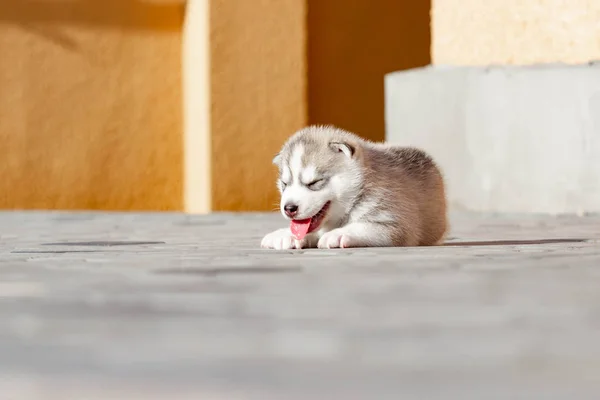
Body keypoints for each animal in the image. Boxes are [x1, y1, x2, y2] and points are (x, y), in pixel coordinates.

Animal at [260, 126, 448, 250]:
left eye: (314, 182)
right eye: (285, 183)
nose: (289, 208)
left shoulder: (398, 223)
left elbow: (362, 226)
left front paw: (336, 234)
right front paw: (285, 234)